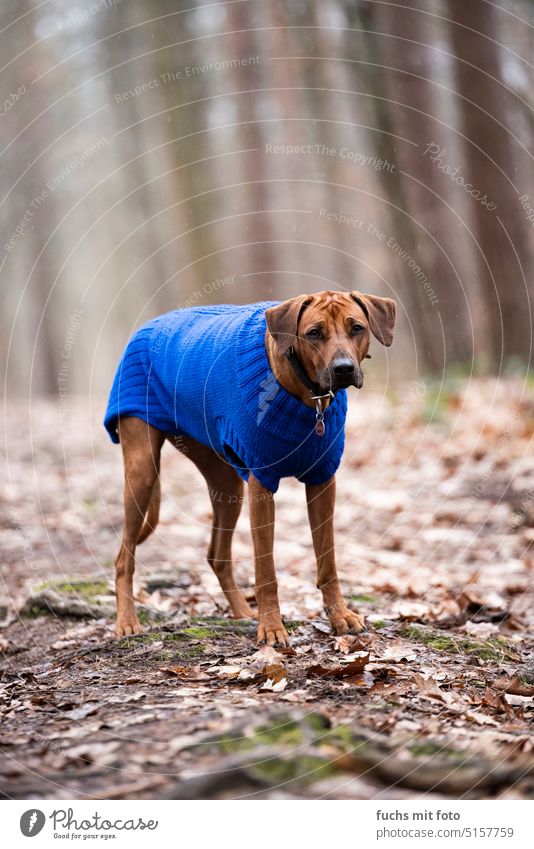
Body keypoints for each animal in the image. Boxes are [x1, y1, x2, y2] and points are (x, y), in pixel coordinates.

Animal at [105, 288, 398, 644]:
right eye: (314, 333)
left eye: (357, 328)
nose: (343, 369)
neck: (305, 393)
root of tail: (145, 328)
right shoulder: (262, 482)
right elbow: (266, 569)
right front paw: (271, 627)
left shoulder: (323, 479)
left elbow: (327, 560)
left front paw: (339, 615)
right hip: (142, 471)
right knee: (124, 558)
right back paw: (127, 622)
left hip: (226, 482)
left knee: (217, 555)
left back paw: (241, 611)